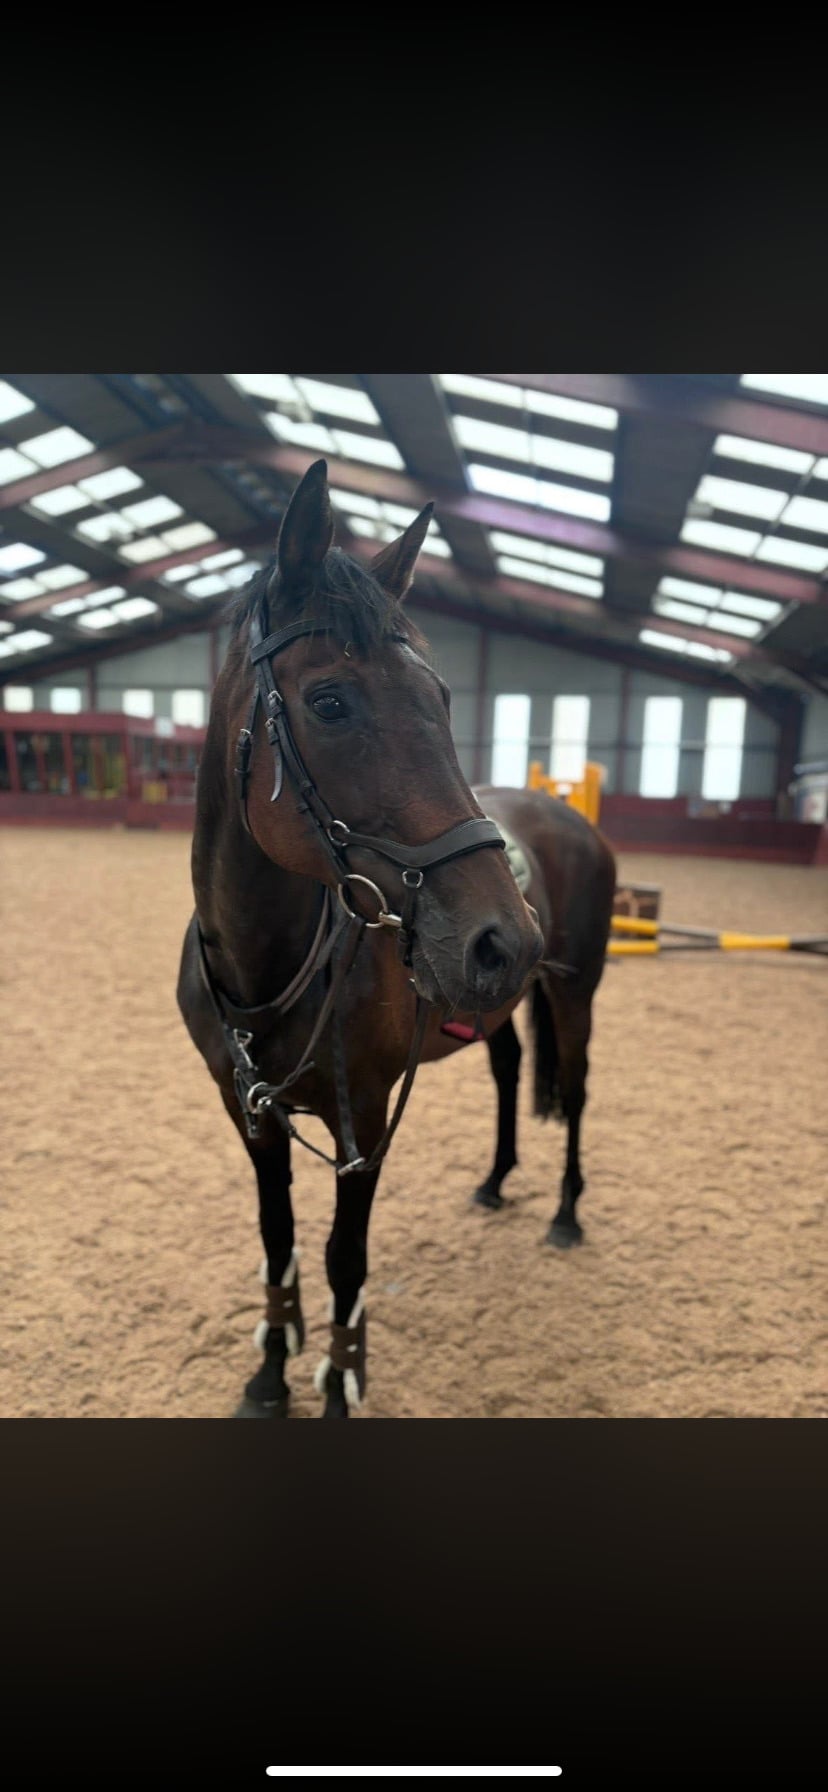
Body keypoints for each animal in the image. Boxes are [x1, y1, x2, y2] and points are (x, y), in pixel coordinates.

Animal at [177, 459, 616, 1418]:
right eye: (331, 701)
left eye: (443, 699)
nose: (504, 938)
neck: (269, 969)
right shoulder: (247, 1112)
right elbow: (277, 1240)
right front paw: (270, 1374)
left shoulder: (366, 1118)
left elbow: (344, 1260)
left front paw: (341, 1381)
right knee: (509, 1071)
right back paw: (495, 1182)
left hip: (572, 991)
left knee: (576, 1089)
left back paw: (566, 1214)